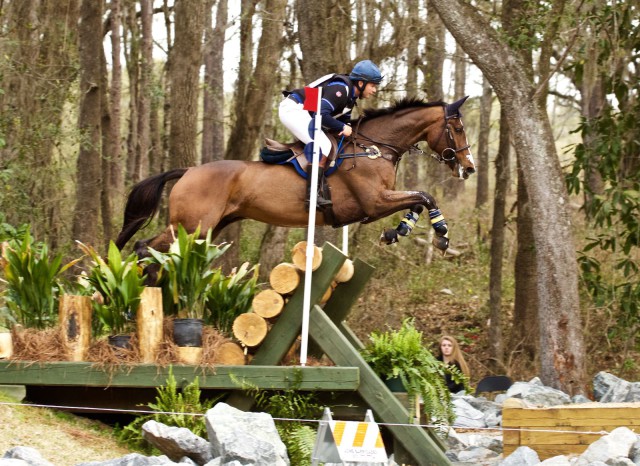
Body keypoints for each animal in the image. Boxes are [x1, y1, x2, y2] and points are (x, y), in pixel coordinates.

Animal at [115, 95, 476, 255]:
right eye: (457, 128)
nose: (469, 167)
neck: (374, 147)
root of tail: (188, 170)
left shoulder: (378, 203)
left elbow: (416, 201)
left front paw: (396, 233)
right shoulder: (373, 203)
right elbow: (425, 195)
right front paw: (442, 234)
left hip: (207, 228)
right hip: (192, 225)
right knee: (144, 246)